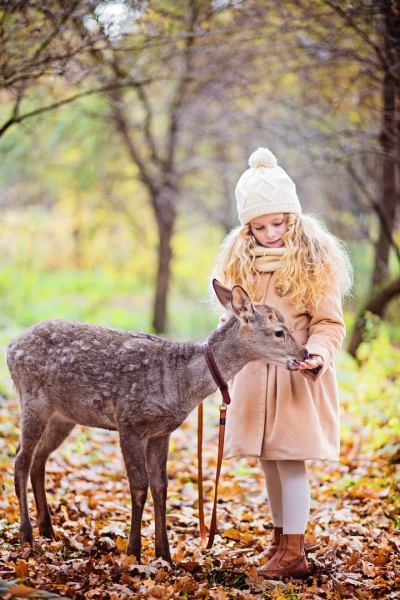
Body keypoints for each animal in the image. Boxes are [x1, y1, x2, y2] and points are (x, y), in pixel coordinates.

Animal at [6, 280, 308, 564]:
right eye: (279, 331)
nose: (304, 354)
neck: (179, 382)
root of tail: (11, 347)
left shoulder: (161, 433)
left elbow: (161, 487)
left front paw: (165, 555)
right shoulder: (129, 422)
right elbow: (139, 486)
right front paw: (134, 552)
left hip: (63, 416)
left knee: (39, 458)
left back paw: (48, 531)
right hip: (33, 399)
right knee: (21, 458)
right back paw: (26, 535)